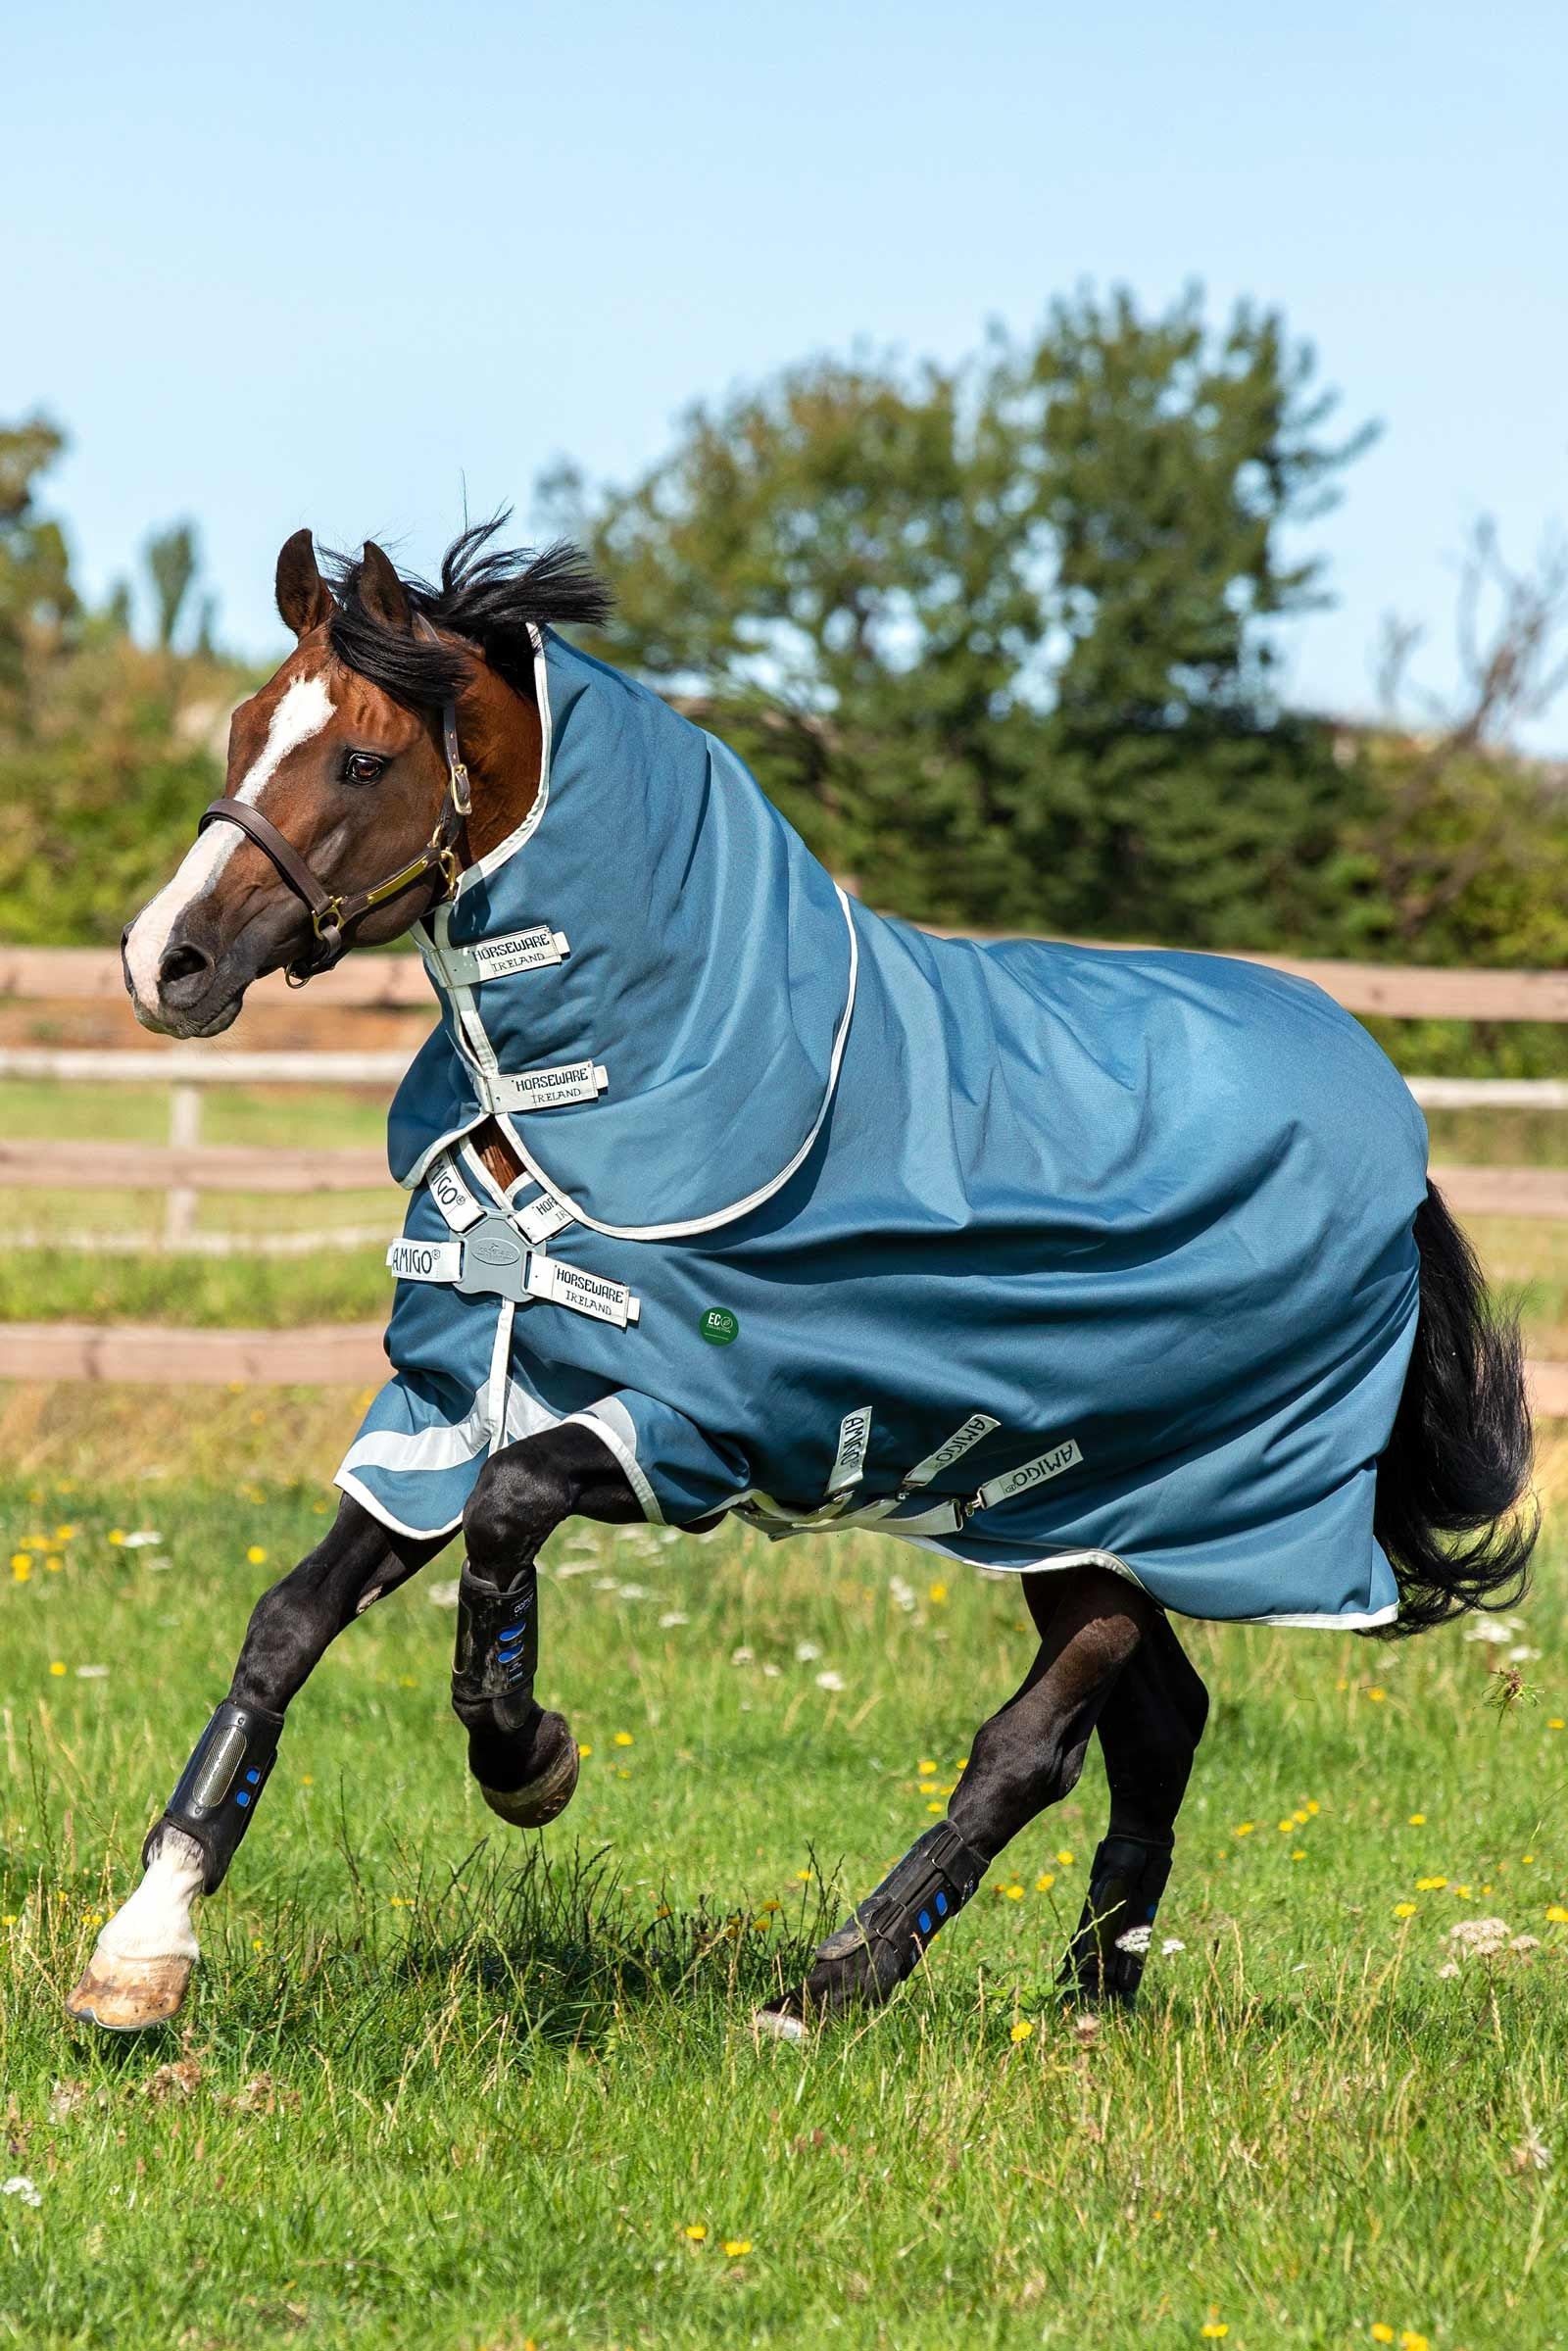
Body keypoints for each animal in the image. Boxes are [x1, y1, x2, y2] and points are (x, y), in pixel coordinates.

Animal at [68, 521, 1535, 2038]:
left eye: (360, 759)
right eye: (244, 728)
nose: (164, 959)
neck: (598, 1100)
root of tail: (1397, 1141)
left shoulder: (693, 1429)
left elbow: (506, 1513)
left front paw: (528, 1755)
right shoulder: (450, 1398)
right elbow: (290, 1621)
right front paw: (143, 1945)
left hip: (1144, 1506)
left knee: (1035, 1741)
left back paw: (835, 1979)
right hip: (1075, 1518)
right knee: (1157, 1723)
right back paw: (1088, 1991)